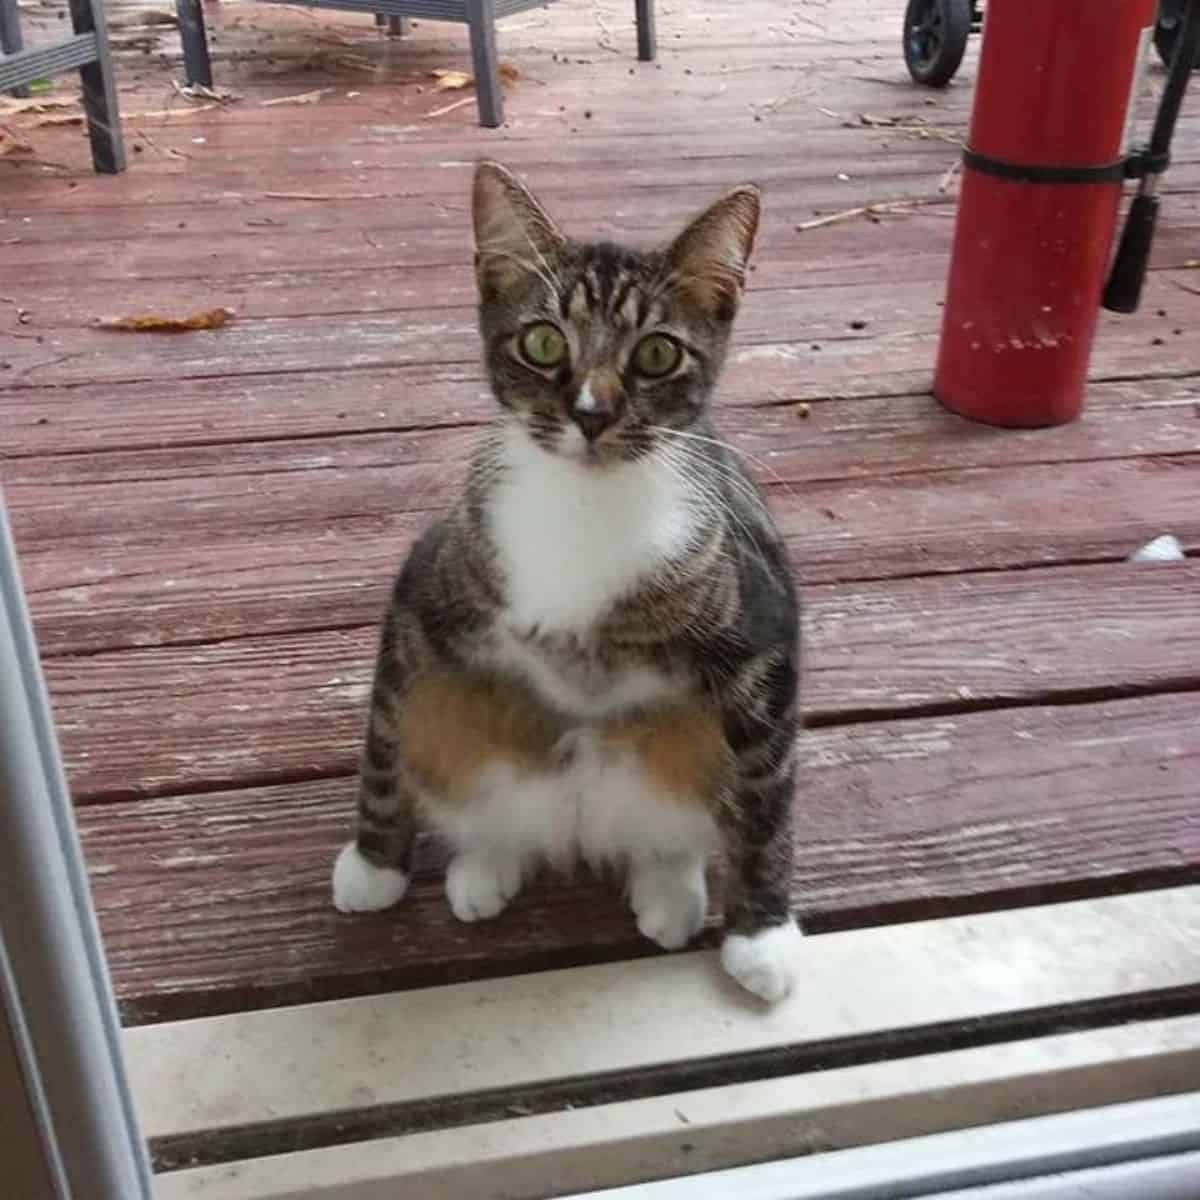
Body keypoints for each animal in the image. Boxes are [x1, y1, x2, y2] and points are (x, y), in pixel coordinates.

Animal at [333, 162, 801, 1003]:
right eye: (543, 340)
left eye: (657, 355)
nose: (590, 413)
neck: (587, 503)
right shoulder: (428, 591)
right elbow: (385, 730)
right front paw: (373, 865)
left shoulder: (762, 630)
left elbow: (767, 800)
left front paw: (765, 937)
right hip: (465, 727)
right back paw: (485, 865)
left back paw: (669, 889)